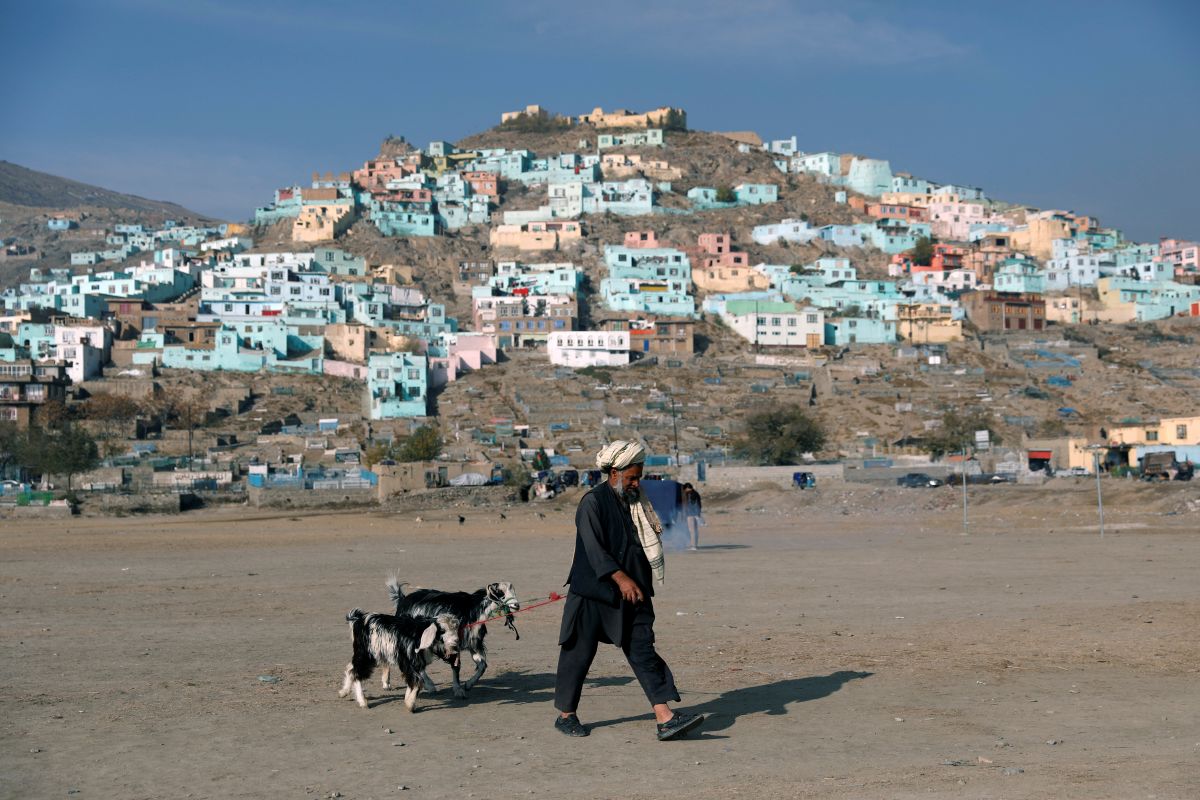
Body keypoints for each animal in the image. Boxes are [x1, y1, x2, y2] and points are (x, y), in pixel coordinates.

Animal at [381, 575, 518, 700]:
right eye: (500, 592)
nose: (516, 605)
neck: (473, 609)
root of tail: (403, 600)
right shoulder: (453, 643)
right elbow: (457, 666)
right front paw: (458, 690)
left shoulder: (473, 643)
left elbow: (482, 665)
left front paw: (468, 685)